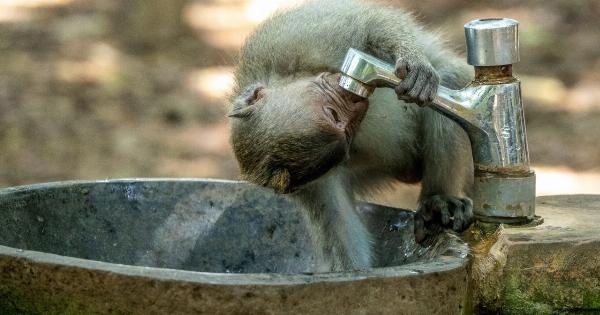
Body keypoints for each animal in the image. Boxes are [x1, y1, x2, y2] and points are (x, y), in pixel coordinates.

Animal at [229, 0, 474, 272]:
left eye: (332, 112)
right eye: (341, 123)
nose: (354, 100)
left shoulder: (296, 42)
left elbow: (371, 26)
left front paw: (414, 63)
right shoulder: (314, 184)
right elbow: (343, 242)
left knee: (449, 79)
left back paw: (438, 198)